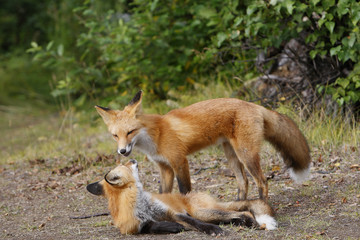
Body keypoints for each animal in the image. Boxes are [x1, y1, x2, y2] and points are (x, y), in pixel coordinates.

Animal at [86, 159, 278, 234]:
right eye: (125, 165)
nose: (132, 159)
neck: (140, 205)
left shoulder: (172, 212)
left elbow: (195, 223)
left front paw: (212, 230)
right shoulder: (134, 226)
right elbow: (152, 227)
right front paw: (172, 227)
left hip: (202, 212)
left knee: (244, 212)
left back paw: (250, 222)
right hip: (208, 213)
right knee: (236, 215)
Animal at [96, 91, 312, 200]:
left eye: (130, 132)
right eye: (115, 135)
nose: (122, 151)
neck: (155, 135)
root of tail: (254, 105)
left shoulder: (179, 161)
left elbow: (185, 191)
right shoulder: (165, 168)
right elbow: (163, 194)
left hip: (246, 154)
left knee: (262, 182)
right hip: (232, 156)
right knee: (244, 182)